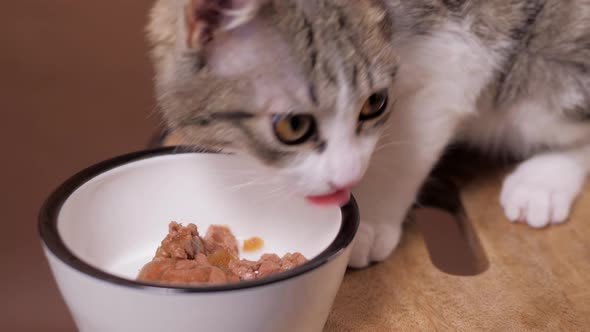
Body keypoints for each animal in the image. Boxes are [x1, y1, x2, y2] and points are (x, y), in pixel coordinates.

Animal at [147, 0, 590, 268]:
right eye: (294, 126)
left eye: (374, 103)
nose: (347, 177)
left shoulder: (460, 51)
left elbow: (407, 147)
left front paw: (372, 219)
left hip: (545, 61)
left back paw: (543, 182)